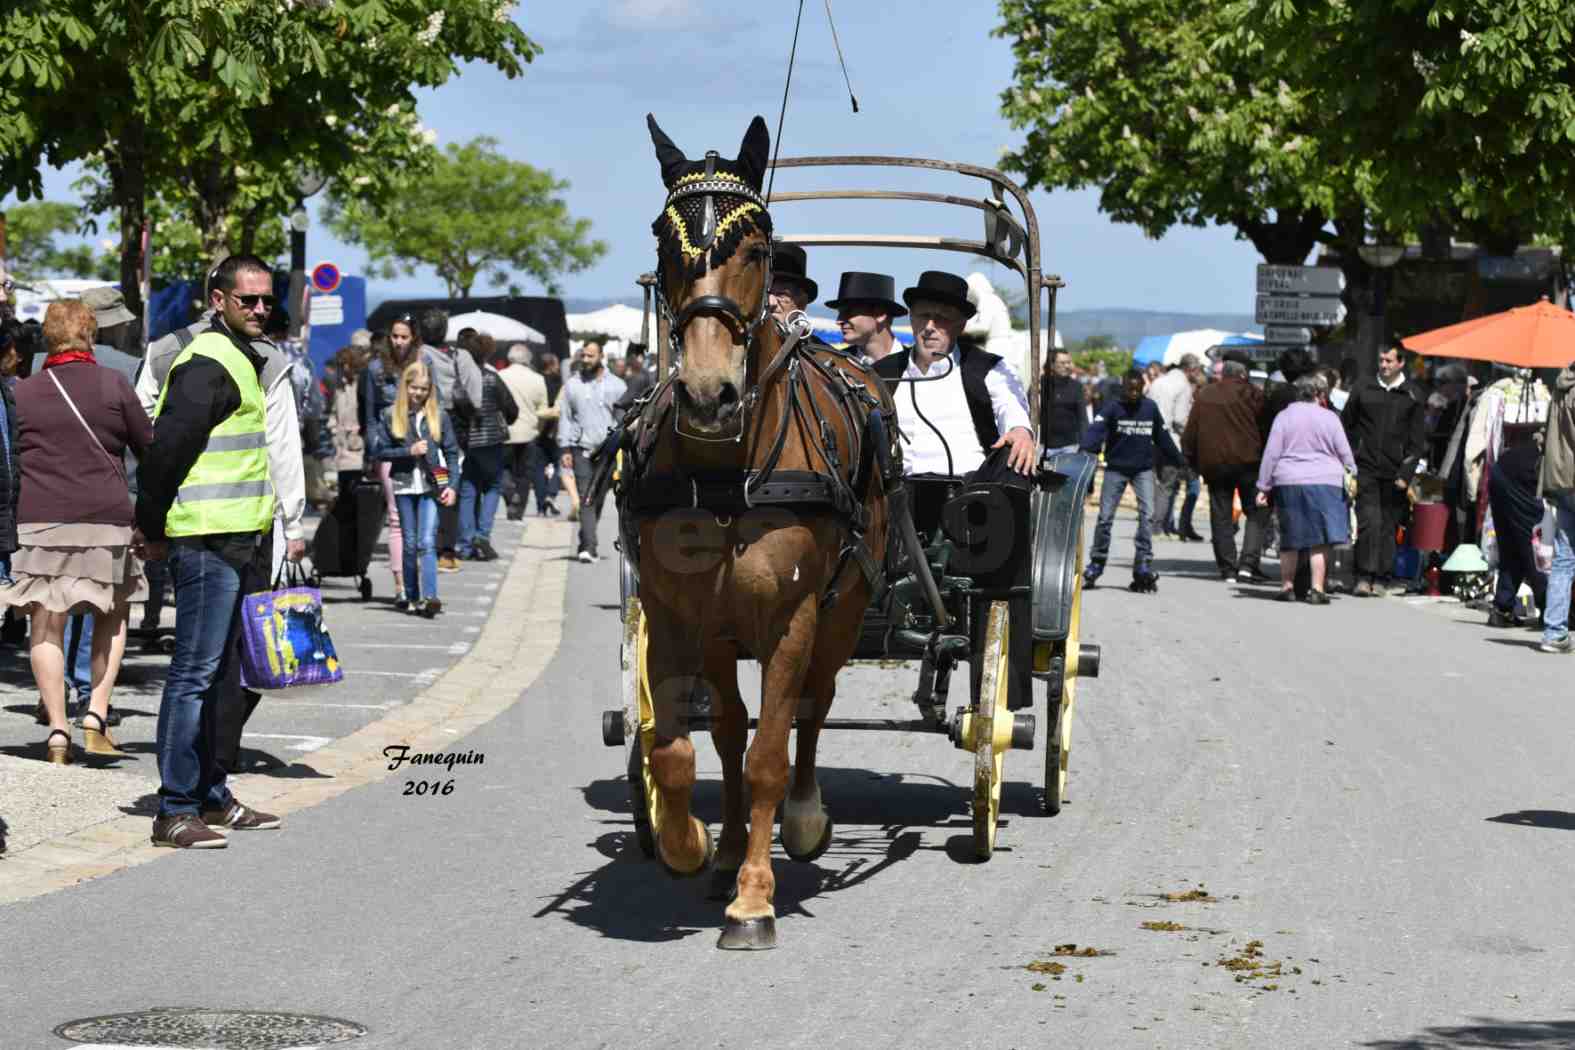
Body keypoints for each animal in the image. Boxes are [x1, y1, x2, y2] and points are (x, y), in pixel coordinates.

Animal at [626, 117, 900, 950]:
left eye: (756, 246)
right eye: (664, 239)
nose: (707, 394)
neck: (727, 472)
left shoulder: (791, 618)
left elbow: (772, 755)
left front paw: (754, 897)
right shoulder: (678, 613)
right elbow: (679, 749)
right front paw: (689, 846)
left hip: (843, 610)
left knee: (812, 706)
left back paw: (802, 823)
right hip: (722, 632)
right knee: (728, 729)